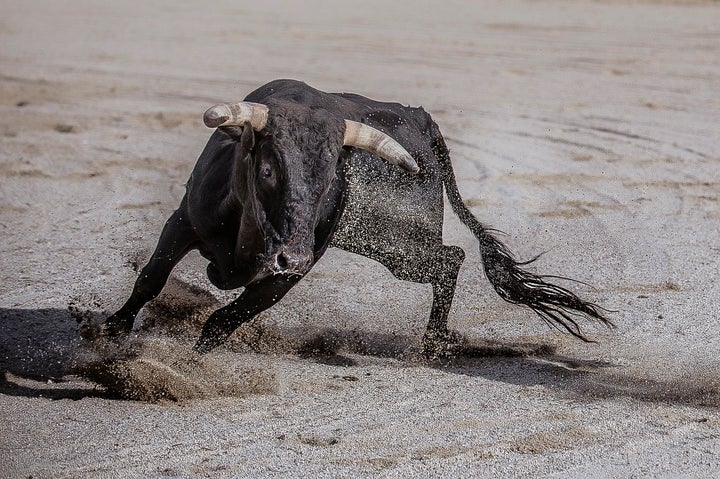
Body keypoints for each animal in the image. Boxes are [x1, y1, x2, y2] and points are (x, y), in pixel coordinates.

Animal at [105, 79, 612, 356]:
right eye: (267, 169)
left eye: (332, 176)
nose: (290, 255)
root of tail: (422, 120)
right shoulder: (182, 223)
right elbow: (150, 279)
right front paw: (111, 333)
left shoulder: (288, 276)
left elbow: (223, 321)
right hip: (387, 243)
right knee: (449, 258)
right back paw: (435, 342)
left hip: (395, 243)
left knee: (450, 258)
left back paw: (434, 343)